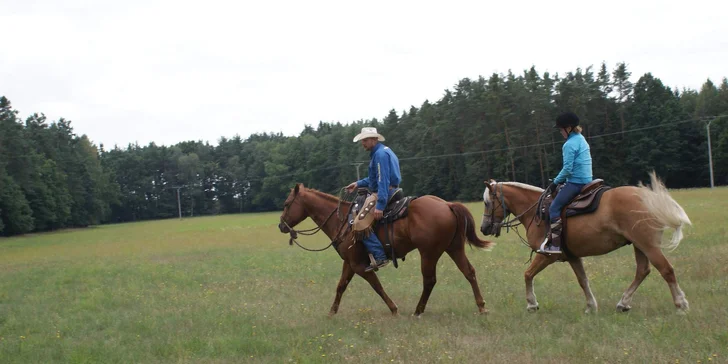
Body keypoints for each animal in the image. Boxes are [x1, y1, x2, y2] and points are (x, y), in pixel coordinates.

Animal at [278, 183, 494, 318]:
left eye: (287, 204)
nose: (281, 226)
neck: (343, 221)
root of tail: (447, 204)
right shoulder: (349, 263)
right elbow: (340, 287)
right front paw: (331, 313)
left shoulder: (360, 266)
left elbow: (377, 286)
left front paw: (394, 309)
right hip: (454, 248)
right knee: (469, 272)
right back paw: (482, 307)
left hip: (429, 253)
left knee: (430, 281)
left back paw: (418, 311)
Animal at [480, 172, 692, 314]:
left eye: (487, 203)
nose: (483, 228)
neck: (536, 211)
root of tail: (648, 197)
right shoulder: (573, 256)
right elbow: (583, 281)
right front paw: (591, 306)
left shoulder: (546, 255)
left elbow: (527, 274)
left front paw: (532, 304)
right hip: (639, 245)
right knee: (642, 271)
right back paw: (623, 303)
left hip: (648, 245)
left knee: (666, 270)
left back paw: (681, 304)